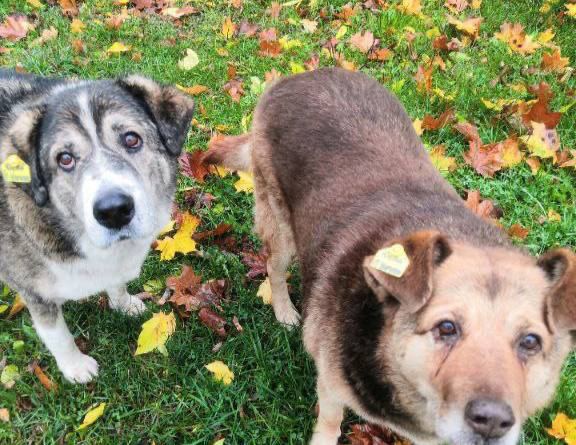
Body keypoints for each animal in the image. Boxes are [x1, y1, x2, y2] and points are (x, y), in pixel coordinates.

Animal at [0, 69, 194, 382]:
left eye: (131, 139)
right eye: (65, 159)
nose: (113, 211)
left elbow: (116, 282)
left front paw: (124, 304)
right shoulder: (35, 292)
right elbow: (57, 335)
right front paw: (76, 367)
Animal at [204, 68, 576, 444]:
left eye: (530, 342)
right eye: (446, 327)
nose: (493, 420)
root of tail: (299, 76)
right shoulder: (331, 386)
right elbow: (330, 422)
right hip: (280, 226)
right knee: (274, 267)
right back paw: (284, 312)